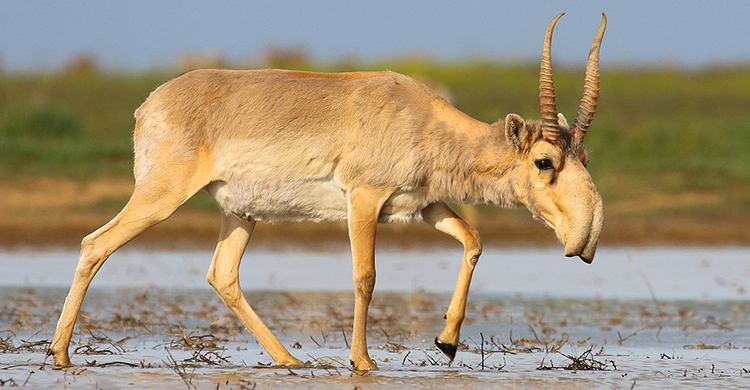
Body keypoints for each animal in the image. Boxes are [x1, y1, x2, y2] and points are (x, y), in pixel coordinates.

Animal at [48, 13, 604, 370]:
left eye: (584, 157)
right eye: (545, 161)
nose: (586, 238)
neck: (422, 117)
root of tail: (149, 104)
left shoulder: (422, 206)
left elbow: (473, 240)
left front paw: (446, 343)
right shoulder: (364, 200)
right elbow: (365, 276)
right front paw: (362, 362)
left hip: (240, 214)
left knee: (222, 275)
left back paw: (290, 360)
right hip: (160, 197)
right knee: (95, 244)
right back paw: (60, 354)